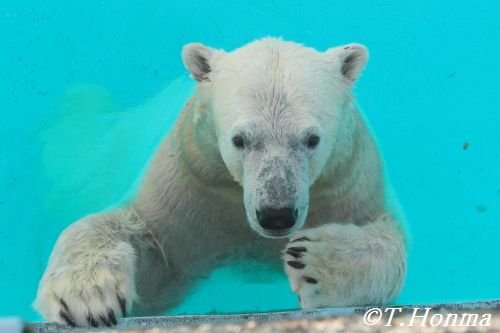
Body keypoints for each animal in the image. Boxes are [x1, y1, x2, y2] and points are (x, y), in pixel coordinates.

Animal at [35, 37, 406, 326]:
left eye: (312, 139)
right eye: (238, 140)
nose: (276, 215)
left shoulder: (347, 182)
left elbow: (388, 237)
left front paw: (311, 261)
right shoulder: (192, 187)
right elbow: (150, 258)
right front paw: (86, 297)